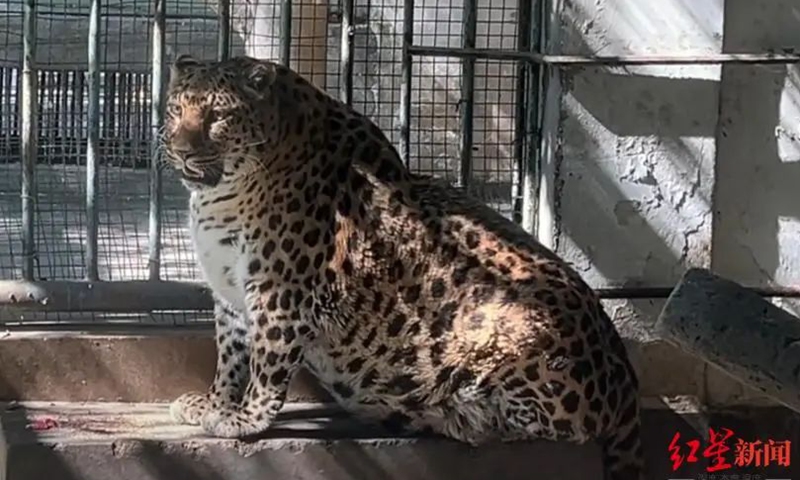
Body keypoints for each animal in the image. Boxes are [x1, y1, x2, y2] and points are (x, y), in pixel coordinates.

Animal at [161, 53, 645, 480]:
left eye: (218, 117)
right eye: (175, 111)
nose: (180, 150)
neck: (221, 195)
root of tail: (626, 384)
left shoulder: (278, 293)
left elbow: (266, 362)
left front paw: (244, 419)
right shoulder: (230, 294)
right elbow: (230, 355)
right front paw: (214, 404)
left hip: (511, 320)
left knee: (550, 432)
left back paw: (438, 411)